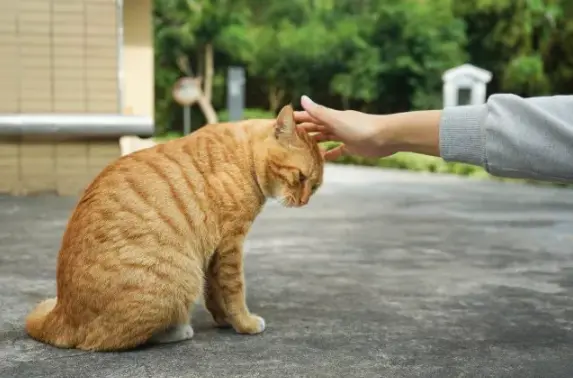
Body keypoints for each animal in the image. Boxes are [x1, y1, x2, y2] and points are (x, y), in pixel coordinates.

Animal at [24, 104, 324, 352]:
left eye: (315, 186)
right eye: (300, 177)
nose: (304, 201)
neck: (245, 157)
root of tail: (62, 313)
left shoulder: (214, 252)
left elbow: (215, 292)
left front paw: (223, 320)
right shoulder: (230, 244)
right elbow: (235, 290)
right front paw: (245, 324)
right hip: (181, 276)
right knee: (110, 341)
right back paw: (178, 331)